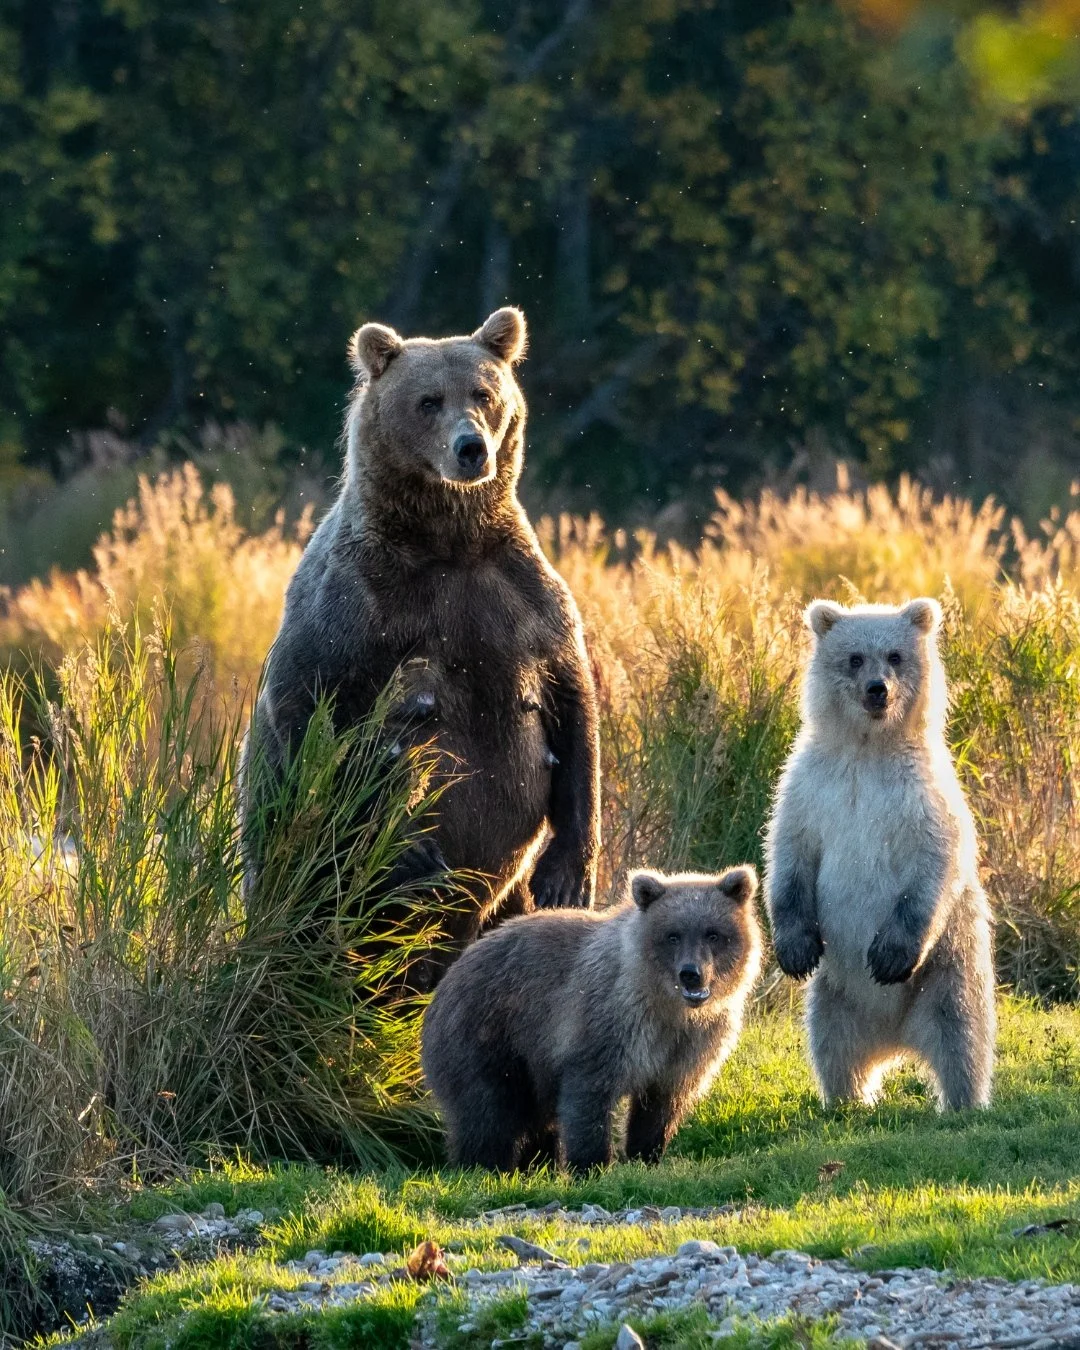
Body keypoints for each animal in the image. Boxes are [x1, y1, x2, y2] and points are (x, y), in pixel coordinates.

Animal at [243, 308, 600, 983]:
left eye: (483, 393)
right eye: (428, 400)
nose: (471, 447)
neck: (448, 541)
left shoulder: (521, 596)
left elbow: (573, 707)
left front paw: (567, 873)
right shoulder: (357, 604)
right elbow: (312, 706)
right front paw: (408, 851)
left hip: (500, 905)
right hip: (299, 876)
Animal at [421, 865, 762, 1172]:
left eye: (713, 934)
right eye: (673, 935)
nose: (691, 973)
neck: (667, 1006)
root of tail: (445, 983)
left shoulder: (690, 1045)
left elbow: (661, 1105)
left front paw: (646, 1155)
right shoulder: (609, 1021)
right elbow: (589, 1093)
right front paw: (592, 1165)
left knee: (534, 1117)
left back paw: (537, 1164)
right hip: (488, 1033)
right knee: (488, 1110)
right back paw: (485, 1166)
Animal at [763, 597, 995, 1111]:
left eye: (894, 655)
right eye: (854, 658)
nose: (877, 690)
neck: (869, 749)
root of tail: (895, 1040)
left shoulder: (922, 795)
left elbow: (935, 863)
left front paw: (887, 955)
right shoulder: (811, 788)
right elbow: (789, 856)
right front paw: (794, 948)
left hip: (947, 970)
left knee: (962, 1036)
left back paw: (962, 1102)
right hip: (835, 995)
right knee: (832, 1044)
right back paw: (848, 1099)